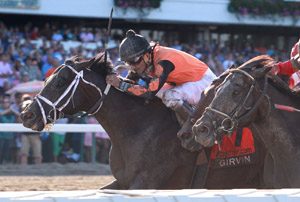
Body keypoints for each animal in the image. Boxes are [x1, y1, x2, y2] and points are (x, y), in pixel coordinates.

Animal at [19, 52, 262, 189]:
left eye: (60, 81)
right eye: (46, 79)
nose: (26, 114)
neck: (137, 127)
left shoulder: (147, 182)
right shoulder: (123, 182)